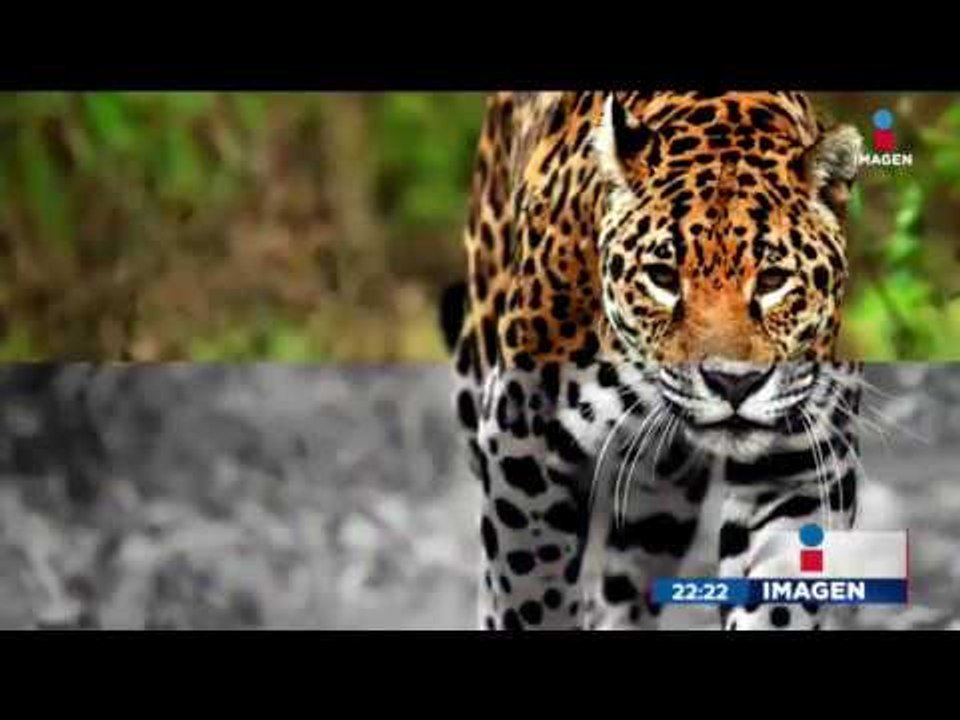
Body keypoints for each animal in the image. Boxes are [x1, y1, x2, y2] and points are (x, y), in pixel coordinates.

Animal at [443, 91, 866, 631]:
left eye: (773, 281)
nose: (732, 383)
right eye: (662, 277)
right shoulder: (524, 440)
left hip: (660, 495)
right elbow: (530, 586)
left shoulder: (799, 461)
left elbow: (778, 597)